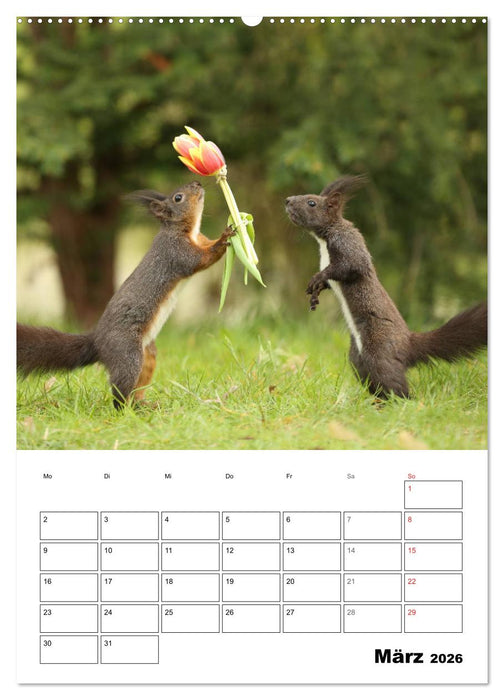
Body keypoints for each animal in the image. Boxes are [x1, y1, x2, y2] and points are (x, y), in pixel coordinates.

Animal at [17, 181, 234, 408]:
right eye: (178, 197)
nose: (197, 183)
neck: (189, 230)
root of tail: (97, 342)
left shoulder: (200, 240)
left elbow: (207, 247)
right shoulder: (176, 252)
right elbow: (202, 259)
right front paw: (224, 239)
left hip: (147, 355)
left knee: (136, 387)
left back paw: (142, 405)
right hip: (128, 353)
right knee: (120, 391)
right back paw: (124, 409)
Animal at [285, 175, 487, 398]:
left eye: (311, 202)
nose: (287, 200)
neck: (324, 239)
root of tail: (407, 344)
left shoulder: (348, 244)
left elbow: (351, 265)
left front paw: (317, 278)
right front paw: (316, 292)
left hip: (379, 352)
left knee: (393, 383)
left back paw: (404, 402)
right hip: (358, 359)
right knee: (373, 381)